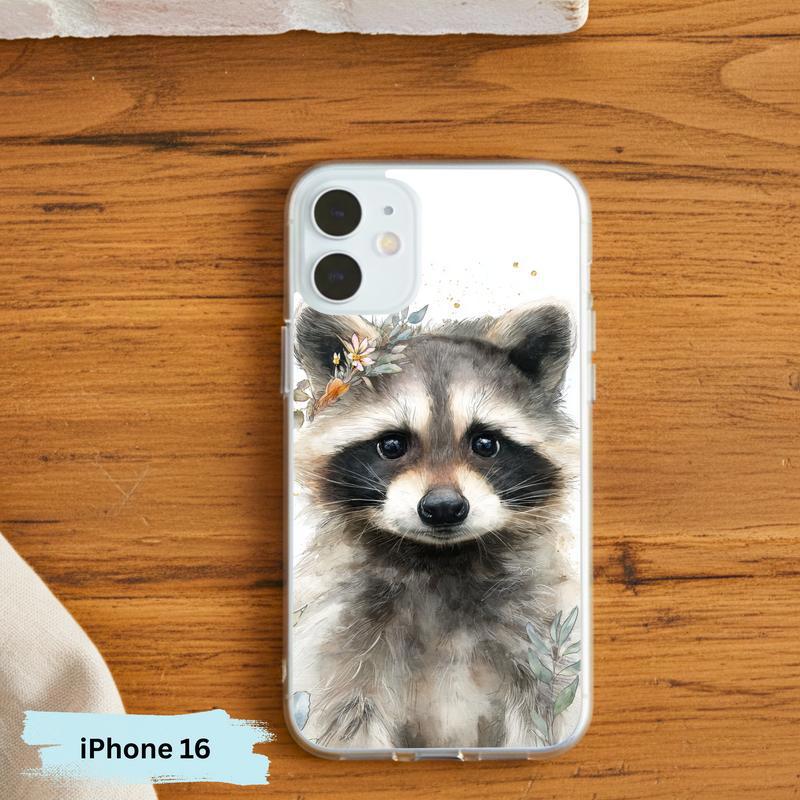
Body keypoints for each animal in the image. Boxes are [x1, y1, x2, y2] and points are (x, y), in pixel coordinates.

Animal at [291, 302, 579, 750]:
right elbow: (346, 715)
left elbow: (544, 717)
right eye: (392, 445)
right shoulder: (341, 630)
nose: (444, 508)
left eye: (485, 443)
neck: (441, 559)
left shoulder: (540, 629)